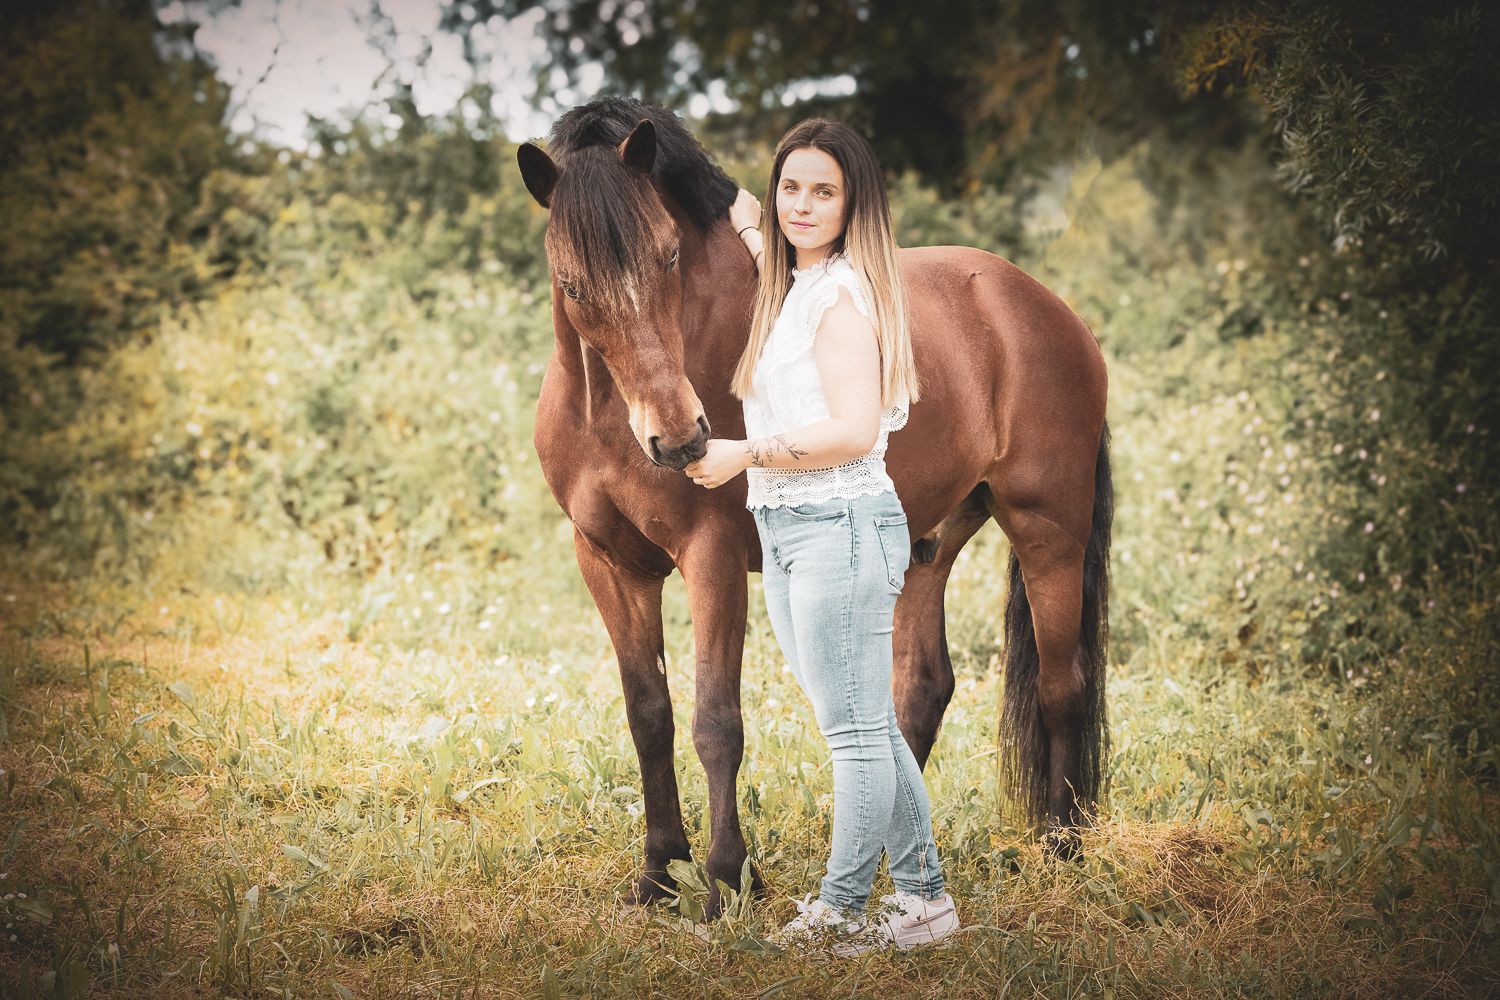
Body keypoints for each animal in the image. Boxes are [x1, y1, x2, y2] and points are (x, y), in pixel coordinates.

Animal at [517, 96, 1111, 917]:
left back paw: (1061, 848)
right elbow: (649, 716)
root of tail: (1050, 311)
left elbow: (715, 722)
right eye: (572, 285)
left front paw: (726, 881)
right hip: (925, 542)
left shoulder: (712, 558)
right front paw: (659, 873)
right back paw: (888, 856)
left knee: (1061, 686)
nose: (680, 438)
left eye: (668, 257)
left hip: (1048, 530)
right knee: (920, 689)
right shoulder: (608, 562)